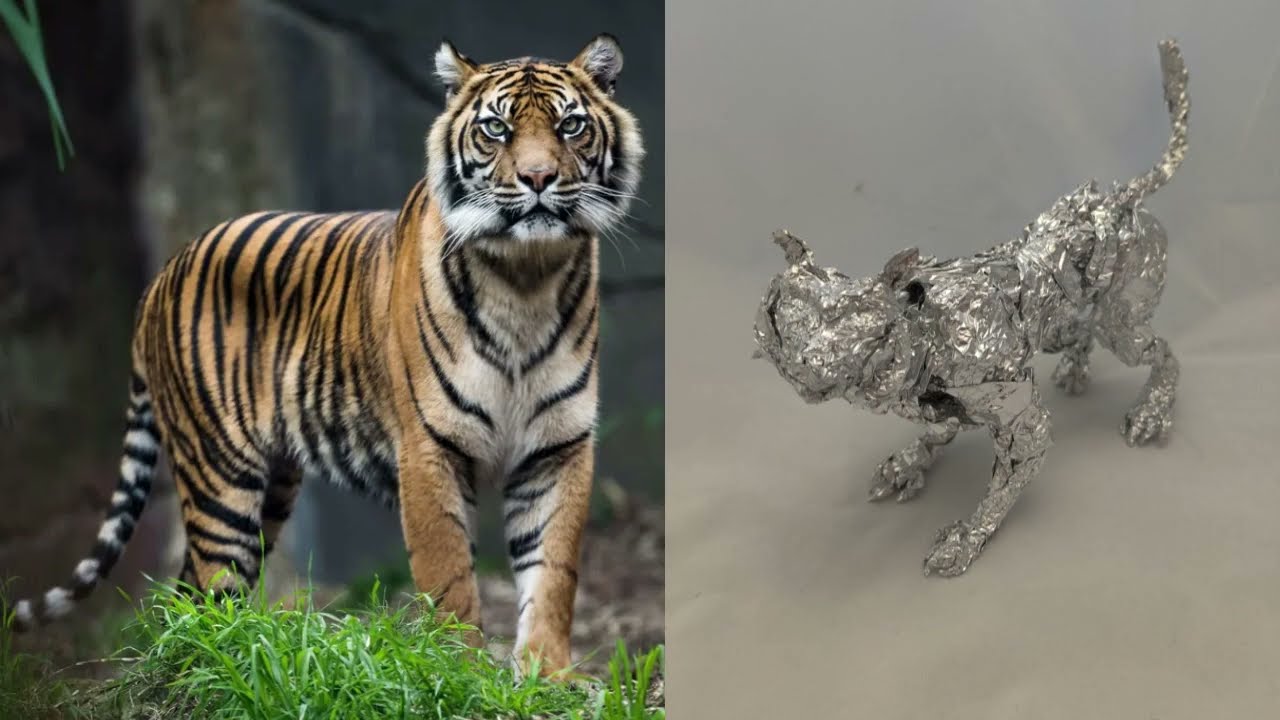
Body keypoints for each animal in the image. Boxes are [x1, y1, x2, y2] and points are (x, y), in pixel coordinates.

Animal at [10, 33, 643, 678]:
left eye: (570, 126)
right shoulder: (428, 448)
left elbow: (554, 572)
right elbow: (450, 579)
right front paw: (460, 672)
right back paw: (223, 662)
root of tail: (160, 276)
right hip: (220, 476)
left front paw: (548, 676)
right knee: (210, 582)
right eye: (496, 128)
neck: (525, 278)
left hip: (272, 485)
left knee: (188, 590)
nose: (538, 177)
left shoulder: (557, 449)